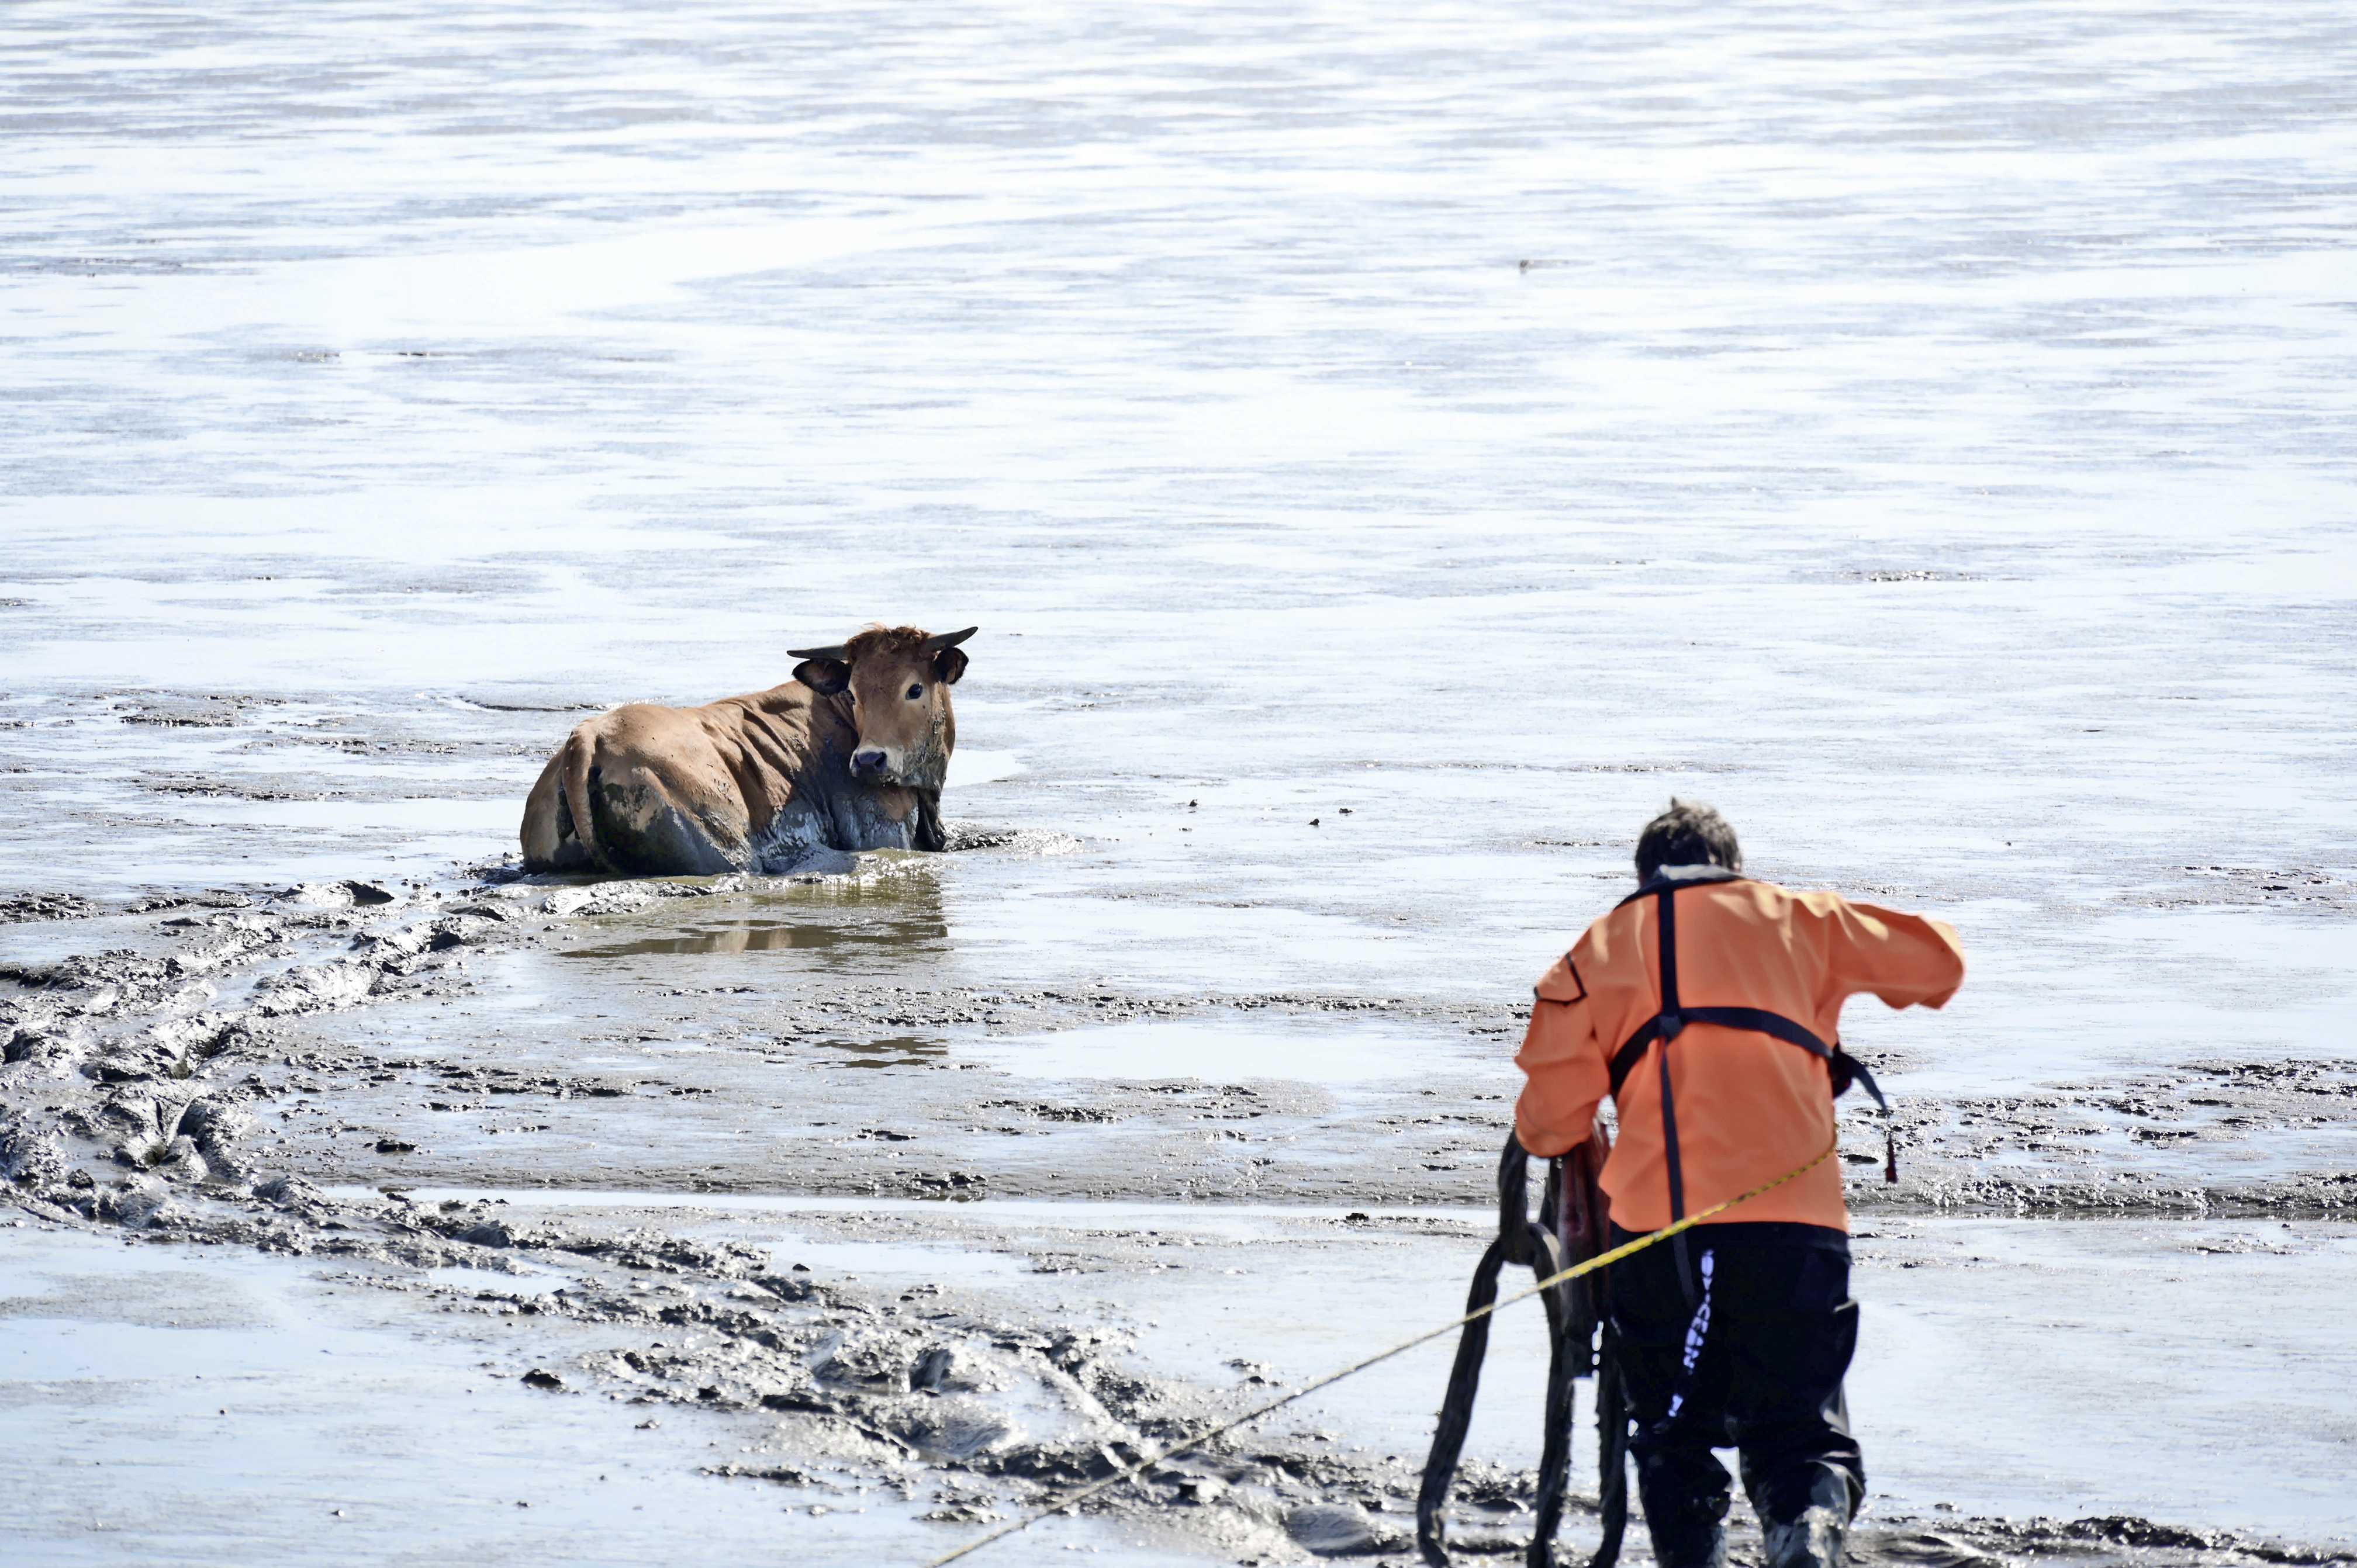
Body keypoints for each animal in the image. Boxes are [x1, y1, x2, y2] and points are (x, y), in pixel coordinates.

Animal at [519, 625, 976, 876]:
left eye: (914, 688)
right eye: (854, 690)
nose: (868, 760)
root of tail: (590, 736)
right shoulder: (880, 832)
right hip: (725, 853)